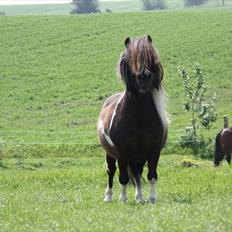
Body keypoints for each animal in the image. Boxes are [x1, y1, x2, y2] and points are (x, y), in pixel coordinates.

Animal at [96, 35, 169, 204]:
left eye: (150, 56)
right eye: (132, 58)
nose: (144, 77)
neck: (139, 117)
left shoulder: (153, 151)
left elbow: (151, 176)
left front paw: (151, 198)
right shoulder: (122, 153)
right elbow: (122, 178)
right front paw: (123, 199)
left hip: (138, 158)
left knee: (137, 173)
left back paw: (140, 197)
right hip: (111, 154)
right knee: (111, 171)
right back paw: (109, 196)